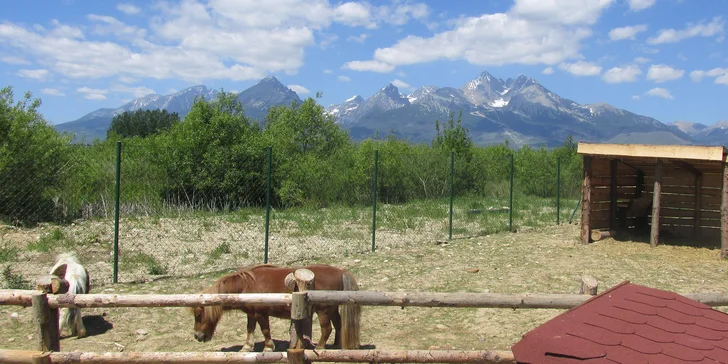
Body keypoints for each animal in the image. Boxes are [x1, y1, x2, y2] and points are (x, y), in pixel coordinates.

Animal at [192, 264, 362, 352]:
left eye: (199, 315)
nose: (197, 336)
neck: (246, 286)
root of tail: (341, 272)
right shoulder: (252, 314)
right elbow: (250, 329)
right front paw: (247, 347)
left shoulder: (261, 314)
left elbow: (265, 330)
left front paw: (268, 347)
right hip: (332, 309)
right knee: (338, 325)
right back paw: (336, 345)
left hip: (323, 311)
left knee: (327, 329)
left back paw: (320, 348)